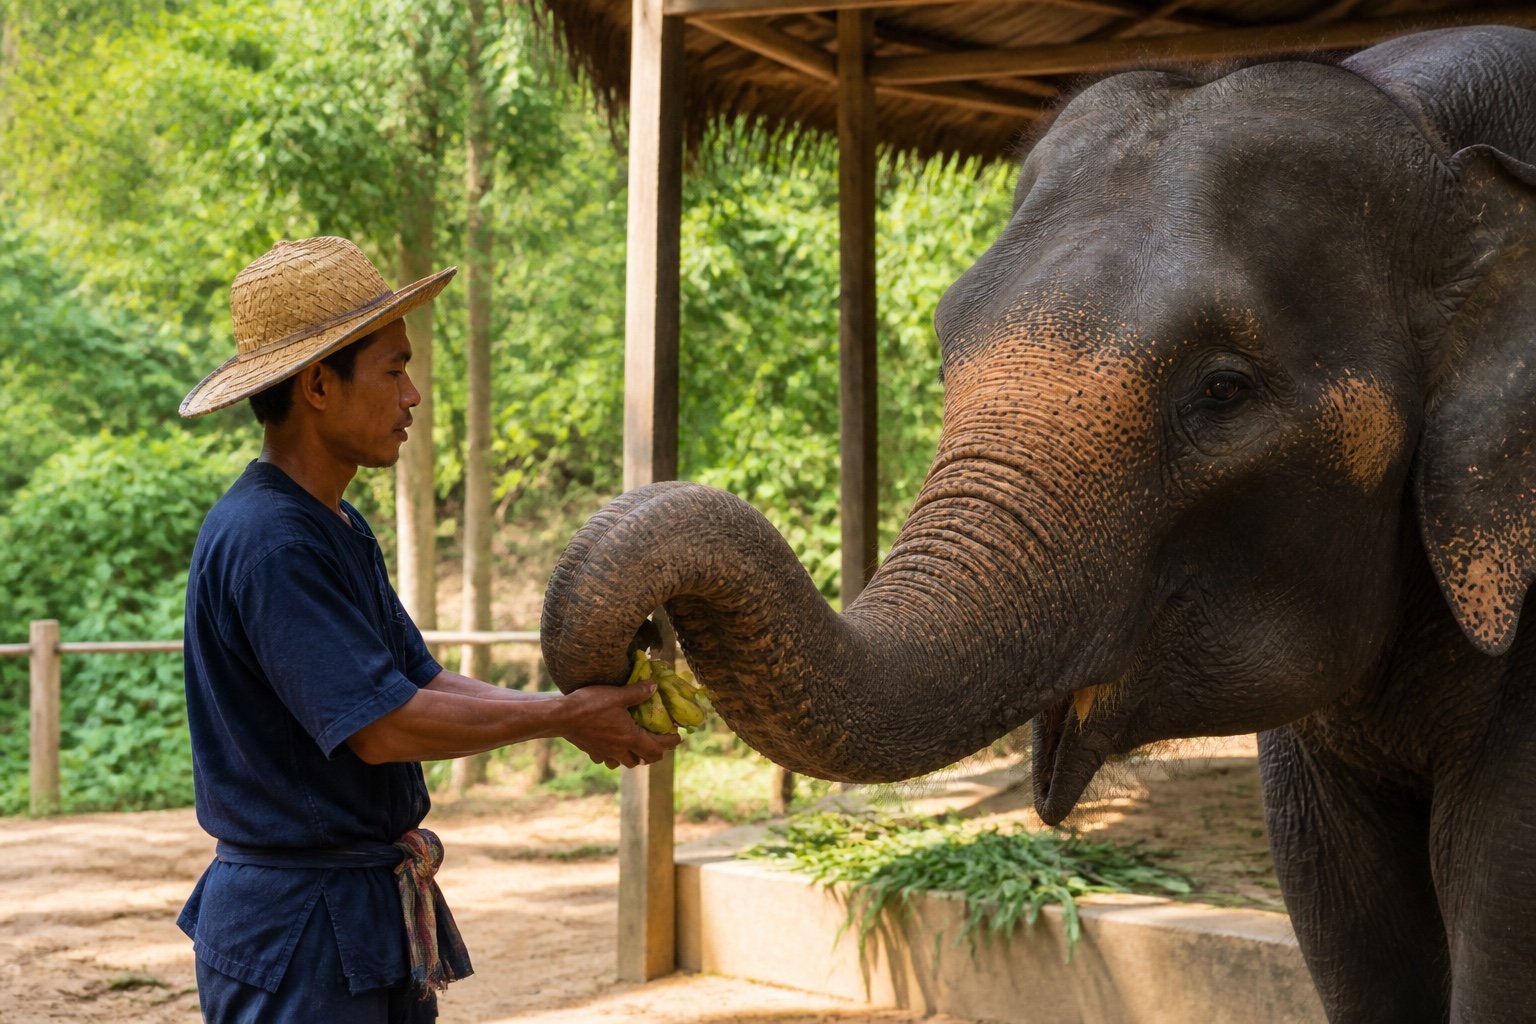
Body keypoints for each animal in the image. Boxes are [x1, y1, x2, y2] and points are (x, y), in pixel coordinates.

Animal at [539, 25, 1536, 1023]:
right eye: (947, 344)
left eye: (1224, 391)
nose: (642, 642)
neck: (1441, 144)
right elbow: (1346, 916)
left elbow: (1501, 916)